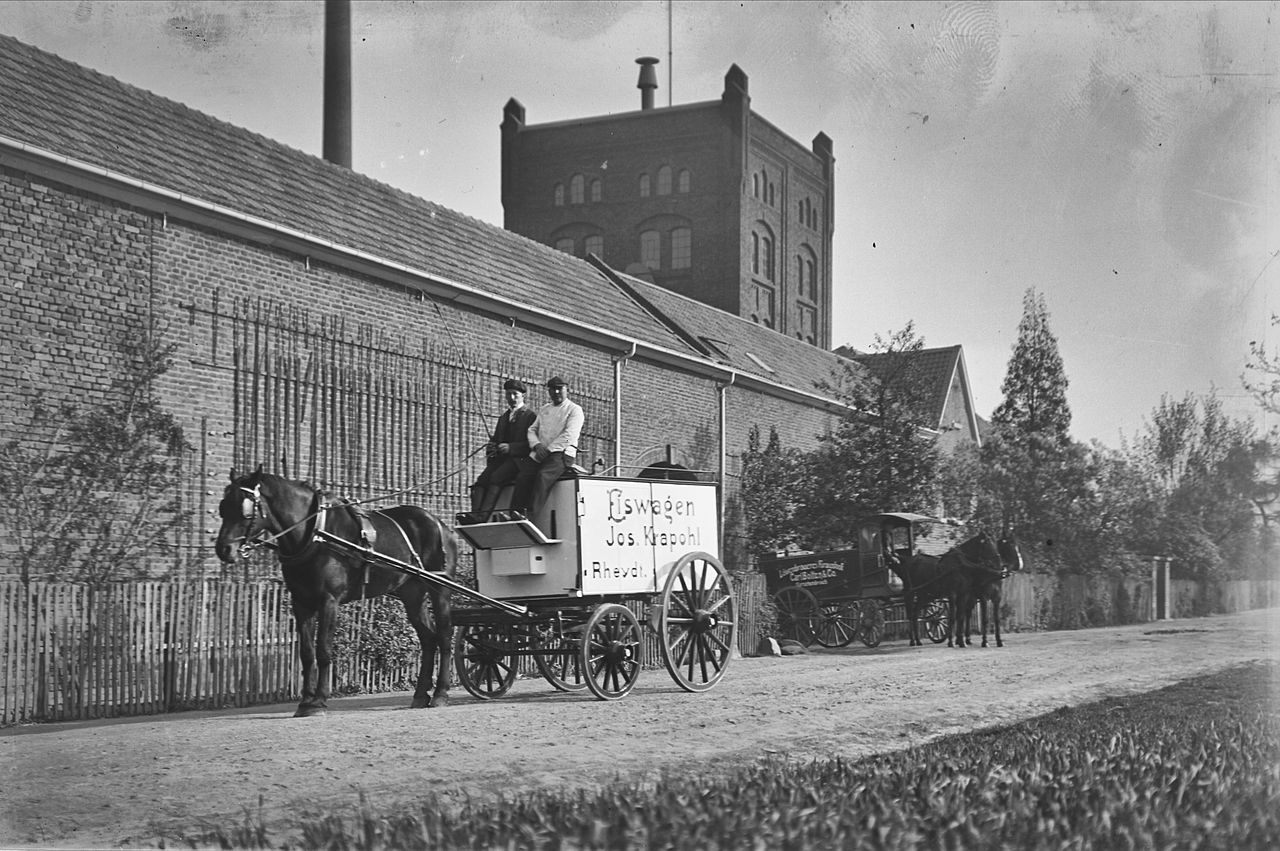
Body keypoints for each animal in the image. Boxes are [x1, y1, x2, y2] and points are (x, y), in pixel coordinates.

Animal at [217, 468, 458, 711]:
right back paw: (420, 695)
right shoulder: (301, 602)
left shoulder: (328, 600)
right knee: (428, 639)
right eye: (223, 506)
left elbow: (323, 649)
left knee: (445, 636)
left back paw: (440, 693)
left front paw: (319, 701)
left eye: (245, 508)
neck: (315, 533)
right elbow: (307, 653)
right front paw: (305, 701)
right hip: (412, 593)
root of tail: (440, 525)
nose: (223, 549)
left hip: (440, 588)